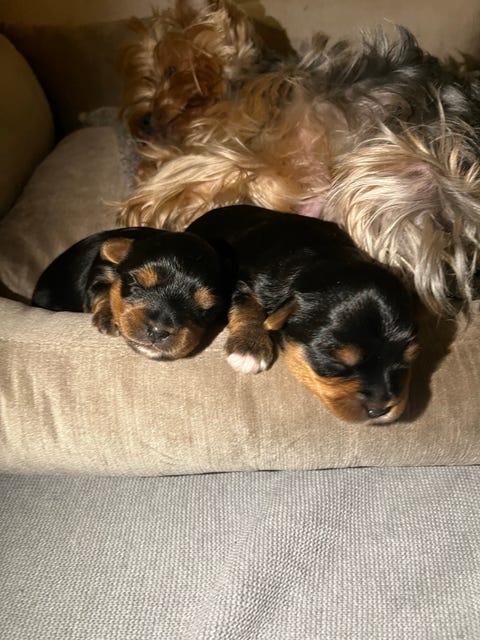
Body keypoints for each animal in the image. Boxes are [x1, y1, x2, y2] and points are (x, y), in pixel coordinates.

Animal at [32, 227, 229, 360]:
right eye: (137, 283)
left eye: (205, 310)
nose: (158, 332)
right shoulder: (99, 273)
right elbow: (106, 291)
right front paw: (109, 315)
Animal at [188, 205, 419, 424]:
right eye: (336, 361)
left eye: (408, 358)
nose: (379, 410)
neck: (325, 258)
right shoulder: (237, 279)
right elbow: (247, 304)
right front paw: (249, 349)